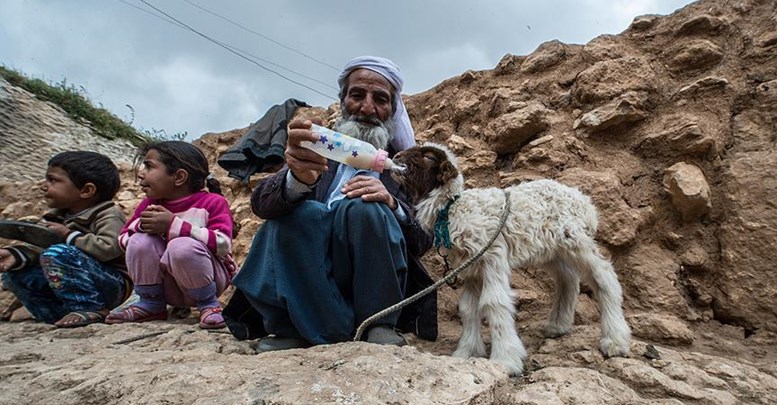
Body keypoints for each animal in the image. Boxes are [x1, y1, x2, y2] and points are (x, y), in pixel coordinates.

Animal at [394, 143, 632, 376]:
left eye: (428, 157)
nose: (395, 157)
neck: (452, 209)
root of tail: (584, 202)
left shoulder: (493, 256)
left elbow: (494, 302)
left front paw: (506, 360)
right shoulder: (472, 266)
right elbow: (468, 307)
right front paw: (467, 352)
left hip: (574, 239)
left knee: (604, 275)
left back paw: (615, 340)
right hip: (552, 249)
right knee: (568, 278)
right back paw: (558, 325)